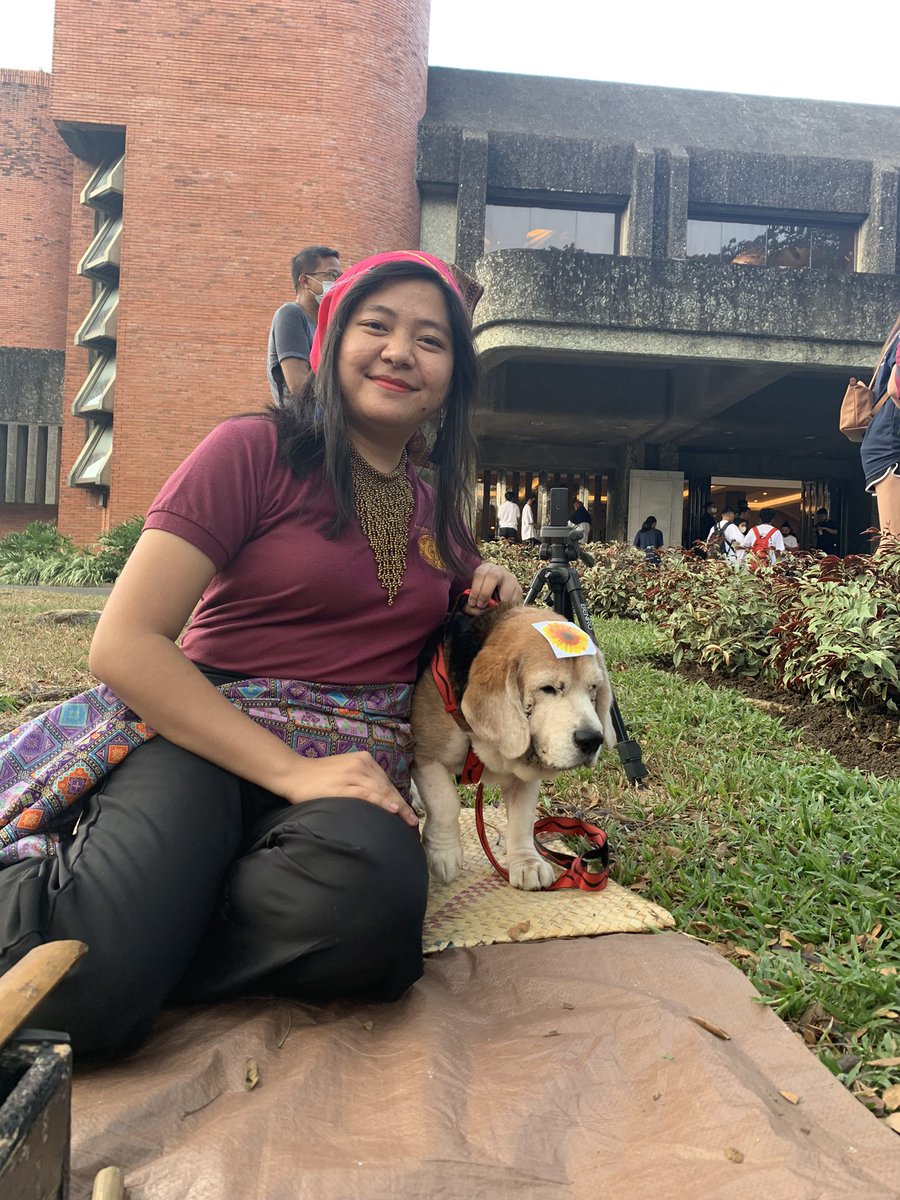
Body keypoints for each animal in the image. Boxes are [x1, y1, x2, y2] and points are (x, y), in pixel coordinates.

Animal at [412, 600, 619, 892]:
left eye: (593, 688)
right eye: (547, 688)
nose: (591, 740)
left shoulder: (526, 778)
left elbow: (522, 821)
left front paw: (527, 863)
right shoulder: (425, 755)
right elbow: (446, 802)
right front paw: (443, 852)